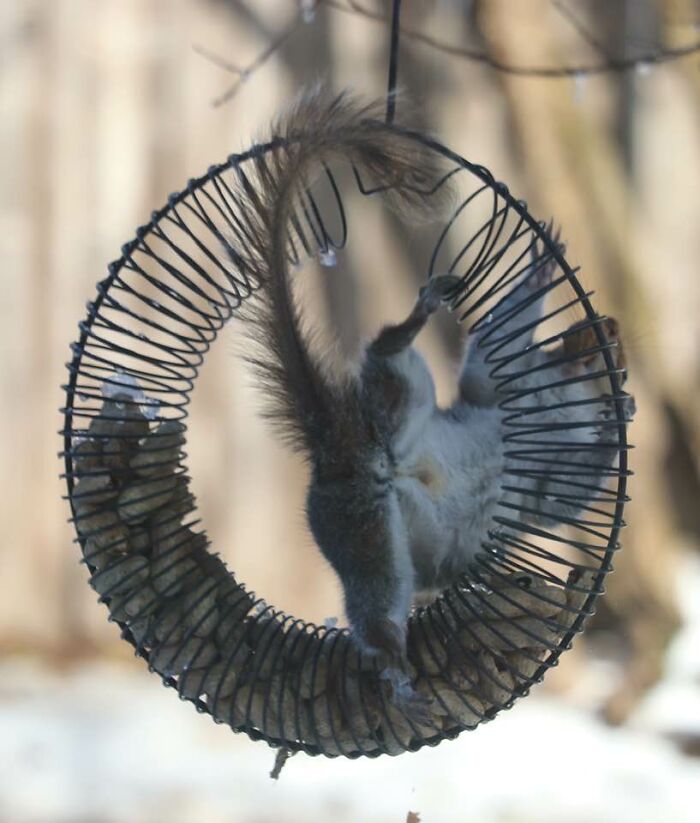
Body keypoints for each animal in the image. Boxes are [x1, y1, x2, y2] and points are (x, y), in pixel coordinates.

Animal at [233, 90, 634, 720]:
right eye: (584, 337)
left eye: (612, 347)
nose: (608, 328)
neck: (563, 396)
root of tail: (344, 451)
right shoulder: (496, 391)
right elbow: (496, 352)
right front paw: (542, 268)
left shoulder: (544, 471)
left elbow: (568, 488)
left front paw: (621, 414)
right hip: (376, 503)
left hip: (391, 468)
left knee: (379, 615)